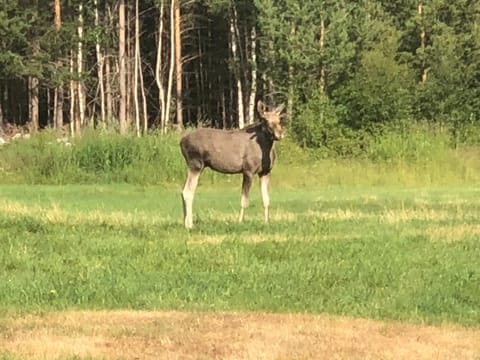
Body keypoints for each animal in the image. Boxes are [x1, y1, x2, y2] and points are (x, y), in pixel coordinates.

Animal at [180, 99, 284, 228]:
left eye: (279, 120)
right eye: (265, 120)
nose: (279, 134)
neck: (266, 149)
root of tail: (181, 142)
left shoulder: (265, 172)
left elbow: (266, 200)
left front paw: (266, 222)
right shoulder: (248, 170)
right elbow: (244, 200)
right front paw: (240, 221)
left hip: (196, 166)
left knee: (186, 191)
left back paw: (186, 222)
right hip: (195, 164)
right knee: (187, 192)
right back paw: (189, 225)